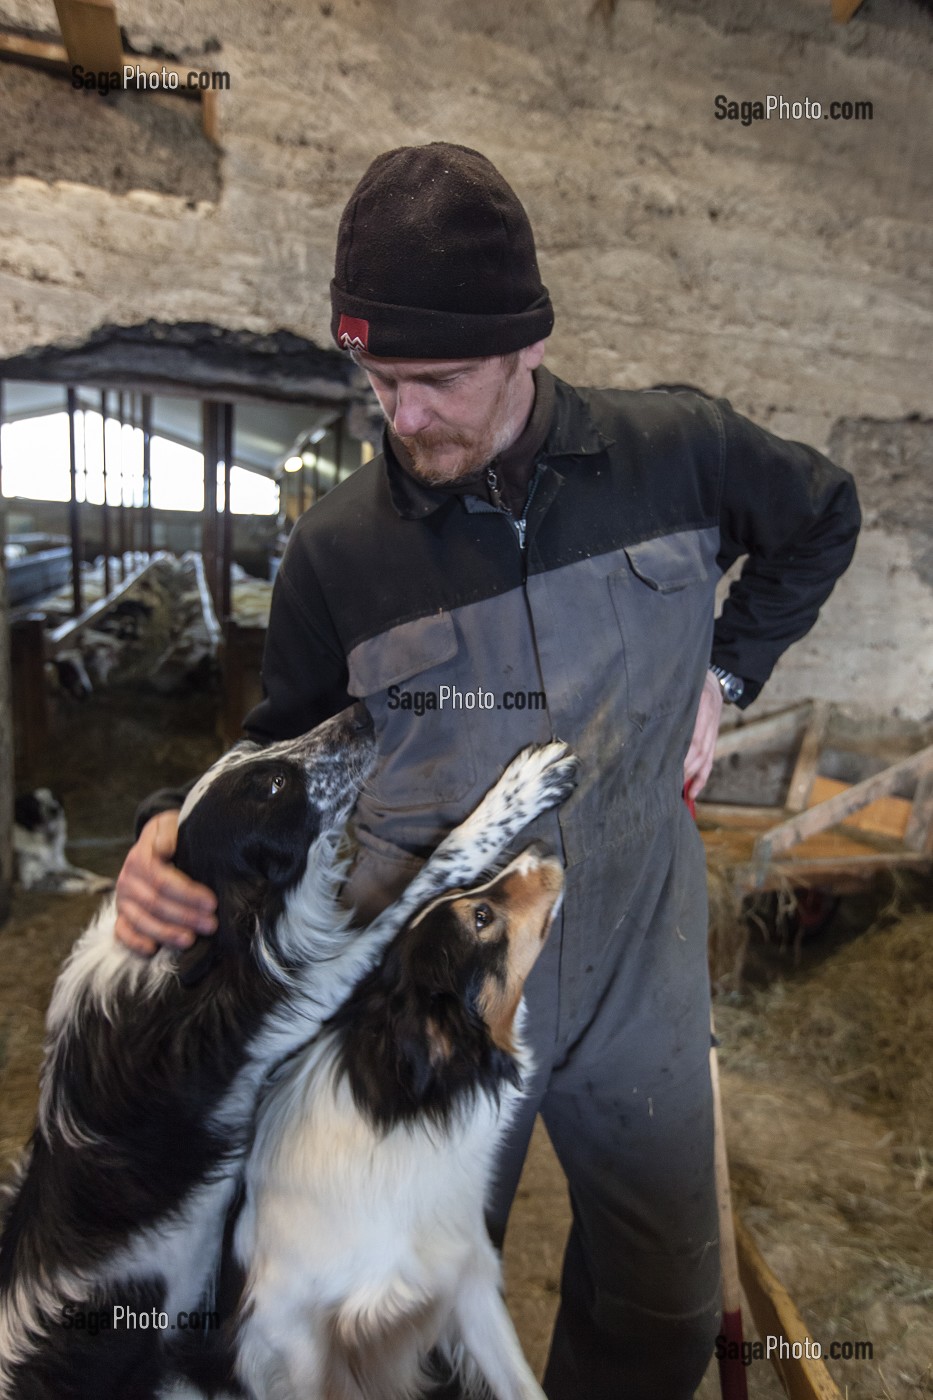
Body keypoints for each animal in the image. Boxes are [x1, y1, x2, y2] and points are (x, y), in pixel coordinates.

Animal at [0, 711, 574, 1400]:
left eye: (256, 747)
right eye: (273, 786)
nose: (362, 714)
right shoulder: (316, 984)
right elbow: (434, 871)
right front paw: (519, 793)